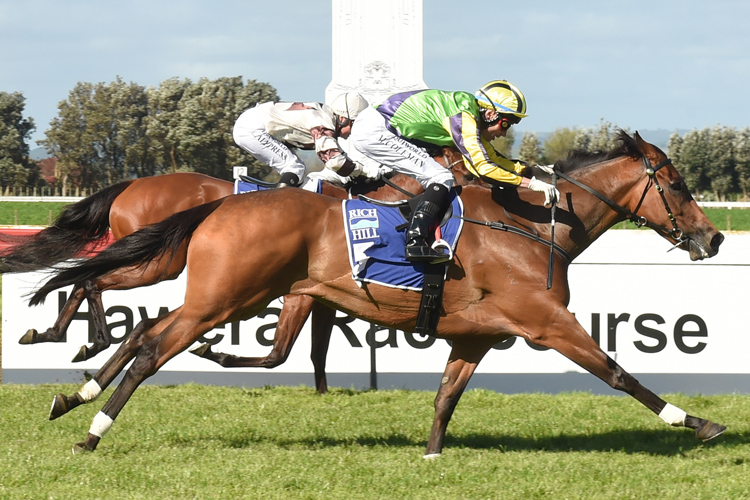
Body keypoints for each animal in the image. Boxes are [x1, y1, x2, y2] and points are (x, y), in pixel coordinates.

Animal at [29, 131, 728, 456]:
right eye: (675, 183)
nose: (714, 235)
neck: (530, 225)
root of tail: (217, 206)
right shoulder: (546, 320)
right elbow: (618, 373)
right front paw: (697, 422)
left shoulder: (477, 333)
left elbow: (446, 396)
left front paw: (432, 455)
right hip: (222, 297)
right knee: (144, 337)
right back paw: (89, 424)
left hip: (230, 294)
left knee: (143, 327)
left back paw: (75, 392)